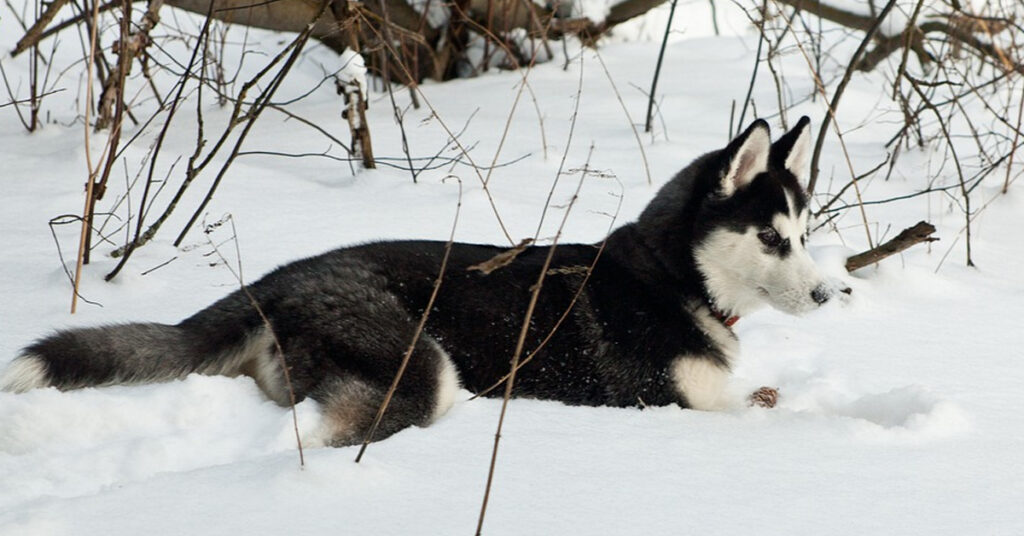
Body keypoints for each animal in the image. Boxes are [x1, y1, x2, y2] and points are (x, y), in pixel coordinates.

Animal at [0, 118, 831, 448]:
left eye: (805, 231)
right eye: (769, 238)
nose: (829, 296)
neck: (672, 277)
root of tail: (277, 279)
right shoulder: (667, 402)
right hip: (424, 366)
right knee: (335, 430)